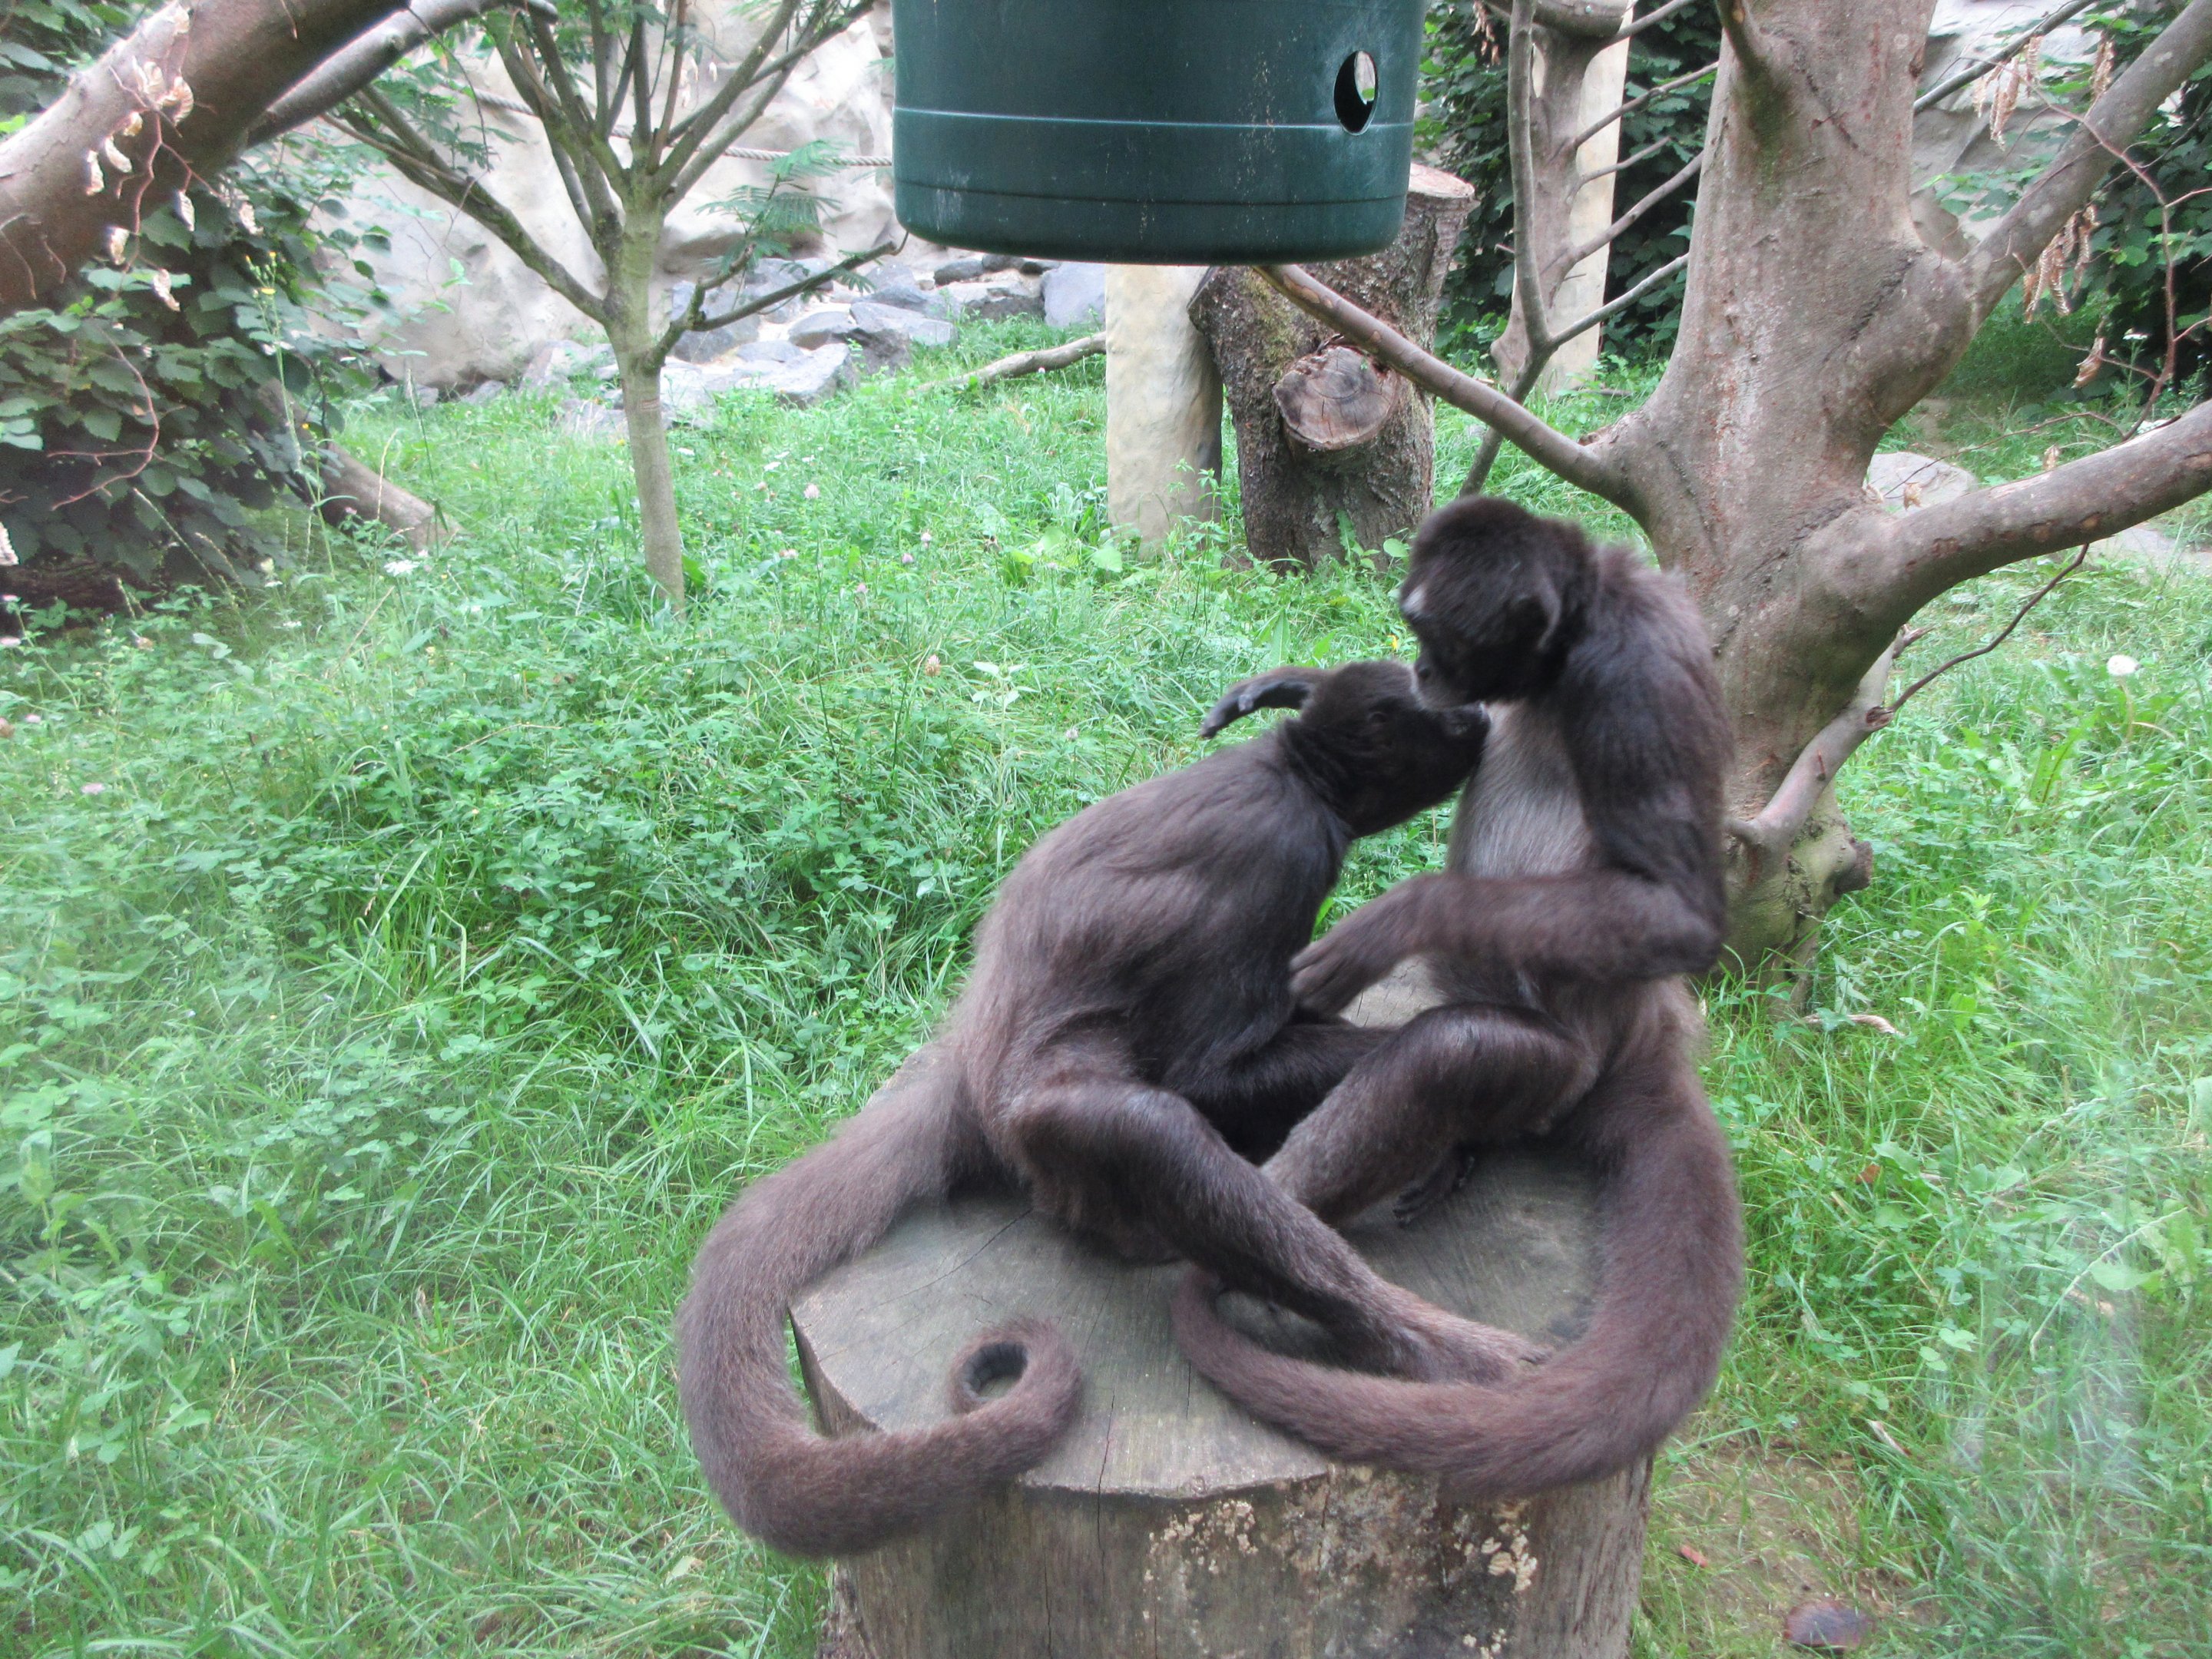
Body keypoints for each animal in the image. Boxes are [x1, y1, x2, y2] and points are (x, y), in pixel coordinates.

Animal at [676, 658, 1542, 1558]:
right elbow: (1203, 1077)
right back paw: (1431, 1349)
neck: (1287, 770)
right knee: (1144, 1128)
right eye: (1448, 714)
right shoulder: (1283, 854)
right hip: (1037, 1132)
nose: (1481, 719)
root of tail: (969, 1064)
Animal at [1172, 495, 1747, 1500]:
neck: (1581, 636)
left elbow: (1680, 916)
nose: (1425, 671)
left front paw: (1397, 916)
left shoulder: (1635, 669)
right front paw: (1296, 686)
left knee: (1454, 1052)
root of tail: (1644, 1034)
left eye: (1437, 635)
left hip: (1559, 1072)